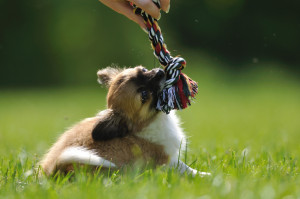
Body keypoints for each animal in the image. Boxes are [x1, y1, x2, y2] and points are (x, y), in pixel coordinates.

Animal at [39, 66, 209, 176]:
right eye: (144, 95)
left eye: (143, 70)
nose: (161, 72)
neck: (148, 122)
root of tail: (52, 172)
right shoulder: (167, 162)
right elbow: (185, 169)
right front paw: (205, 175)